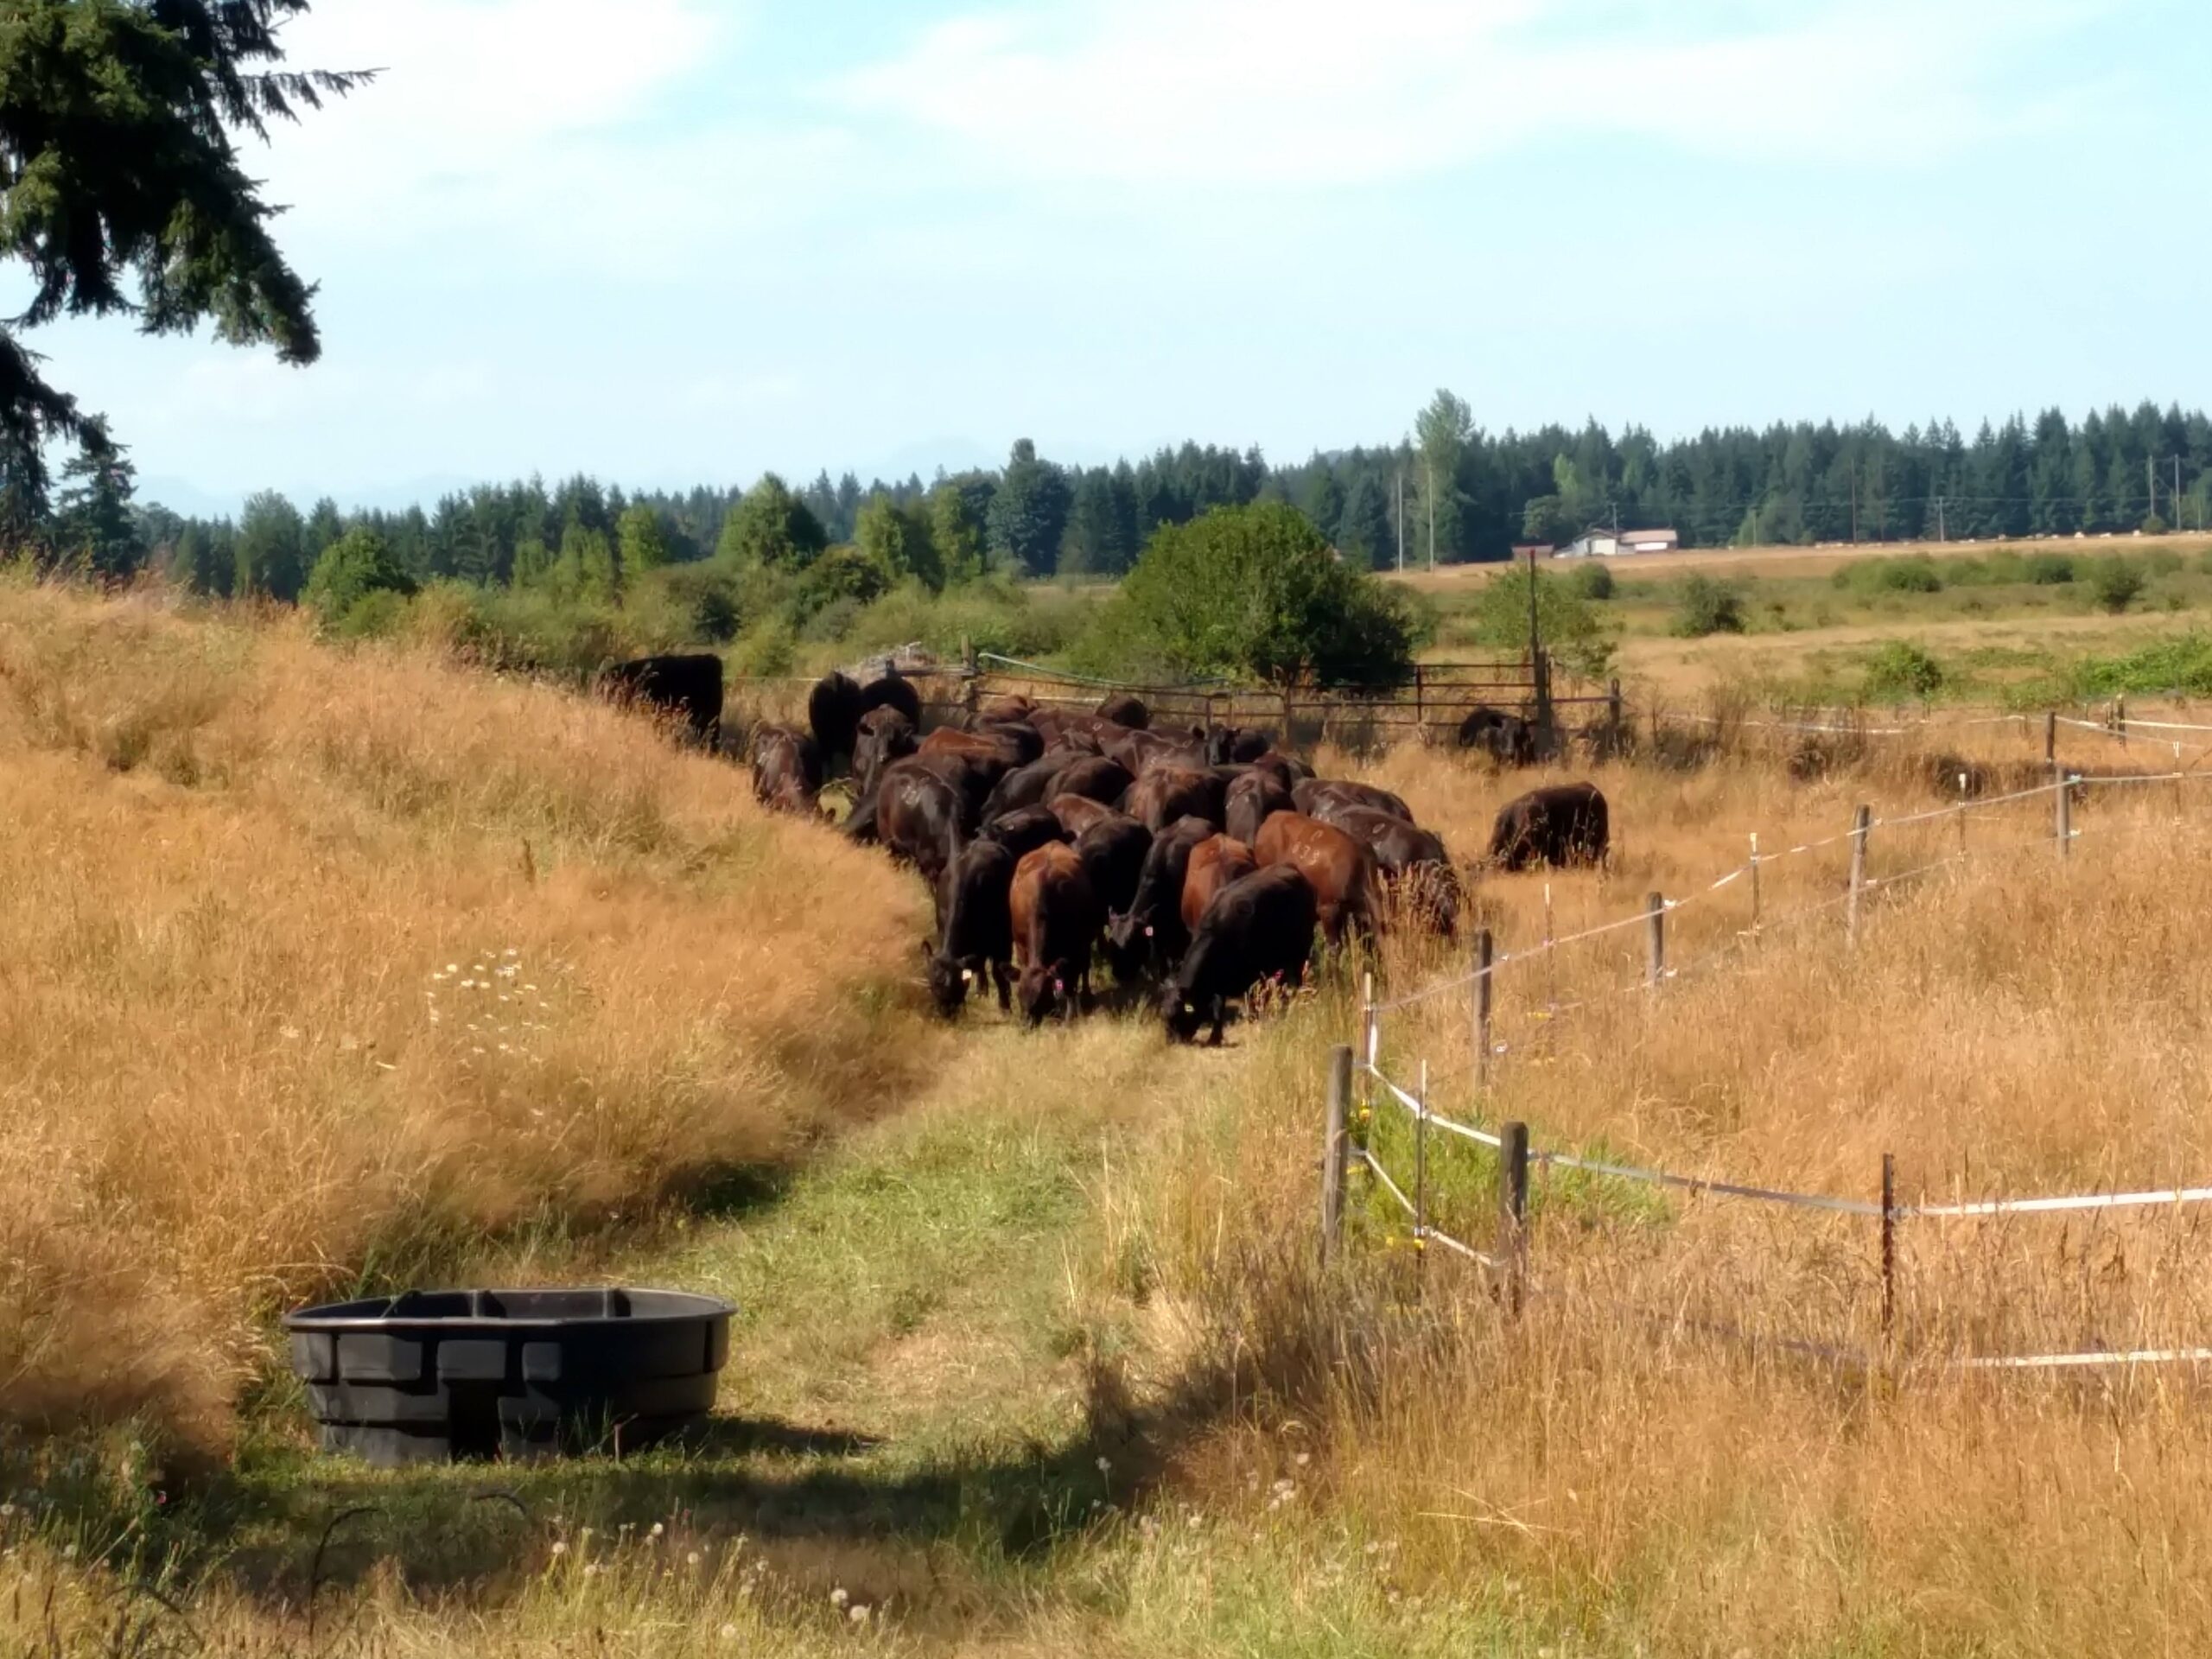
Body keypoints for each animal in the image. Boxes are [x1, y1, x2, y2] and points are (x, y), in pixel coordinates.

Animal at [926, 840, 1016, 1018]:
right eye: (933, 987)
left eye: (956, 986)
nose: (945, 1013)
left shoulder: (1002, 941)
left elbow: (999, 972)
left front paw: (1005, 1007)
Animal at [1011, 842, 1099, 1026]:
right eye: (1019, 995)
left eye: (1041, 997)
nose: (1026, 1025)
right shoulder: (1020, 945)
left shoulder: (1075, 948)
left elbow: (1071, 982)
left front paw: (1069, 1016)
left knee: (1085, 968)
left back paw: (1086, 997)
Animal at [1160, 865, 1318, 1046]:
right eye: (1164, 1015)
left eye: (1178, 1015)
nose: (1171, 1040)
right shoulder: (1220, 982)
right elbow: (1219, 1008)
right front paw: (1215, 1036)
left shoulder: (1255, 973)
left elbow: (1254, 1000)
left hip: (1301, 952)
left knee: (1297, 981)